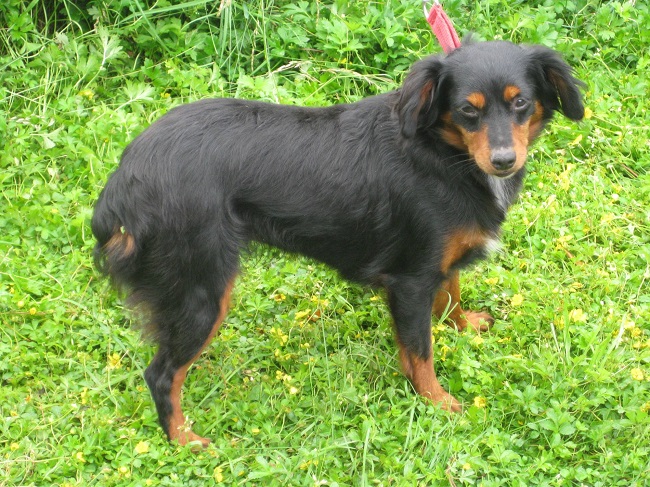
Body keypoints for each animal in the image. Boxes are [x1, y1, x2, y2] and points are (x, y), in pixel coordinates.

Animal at [92, 40, 584, 447]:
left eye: (520, 102)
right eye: (467, 110)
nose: (503, 160)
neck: (442, 151)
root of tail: (127, 174)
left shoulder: (435, 263)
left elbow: (451, 295)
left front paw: (463, 326)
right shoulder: (409, 280)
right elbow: (420, 352)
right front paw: (437, 402)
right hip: (203, 290)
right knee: (161, 374)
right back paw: (183, 439)